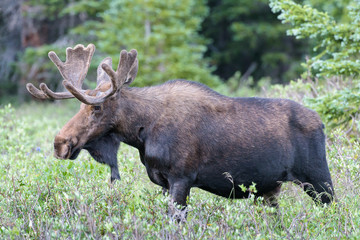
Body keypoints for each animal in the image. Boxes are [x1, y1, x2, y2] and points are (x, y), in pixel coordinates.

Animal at [27, 43, 334, 218]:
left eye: (97, 108)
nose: (60, 143)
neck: (142, 133)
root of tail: (321, 122)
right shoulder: (162, 181)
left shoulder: (182, 178)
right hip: (270, 190)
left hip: (318, 179)